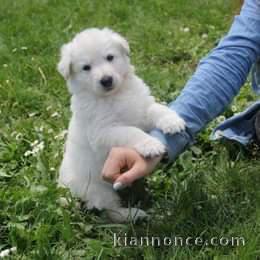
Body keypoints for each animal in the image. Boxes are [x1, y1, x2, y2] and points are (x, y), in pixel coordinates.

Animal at [58, 27, 186, 223]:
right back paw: (134, 214)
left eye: (110, 57)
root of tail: (64, 187)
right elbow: (131, 131)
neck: (114, 95)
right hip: (99, 190)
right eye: (86, 67)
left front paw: (172, 121)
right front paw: (151, 144)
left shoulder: (141, 107)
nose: (106, 80)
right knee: (110, 211)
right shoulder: (103, 132)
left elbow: (156, 109)